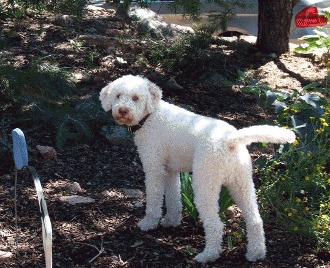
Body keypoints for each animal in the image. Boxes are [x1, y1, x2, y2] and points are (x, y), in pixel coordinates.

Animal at [99, 75, 296, 264]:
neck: (151, 116)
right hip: (242, 183)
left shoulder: (154, 170)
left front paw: (148, 223)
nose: (122, 110)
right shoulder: (170, 172)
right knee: (255, 220)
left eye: (136, 98)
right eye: (118, 96)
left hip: (205, 184)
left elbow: (155, 202)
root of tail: (230, 140)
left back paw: (208, 255)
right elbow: (173, 199)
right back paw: (256, 253)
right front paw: (171, 221)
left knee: (215, 225)